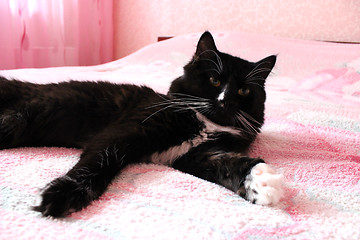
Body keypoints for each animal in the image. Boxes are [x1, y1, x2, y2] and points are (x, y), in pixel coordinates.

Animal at [0, 31, 282, 218]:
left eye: (244, 91)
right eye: (214, 80)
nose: (226, 100)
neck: (205, 123)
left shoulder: (197, 156)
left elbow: (230, 165)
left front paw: (262, 181)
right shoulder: (123, 132)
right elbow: (97, 162)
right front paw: (62, 194)